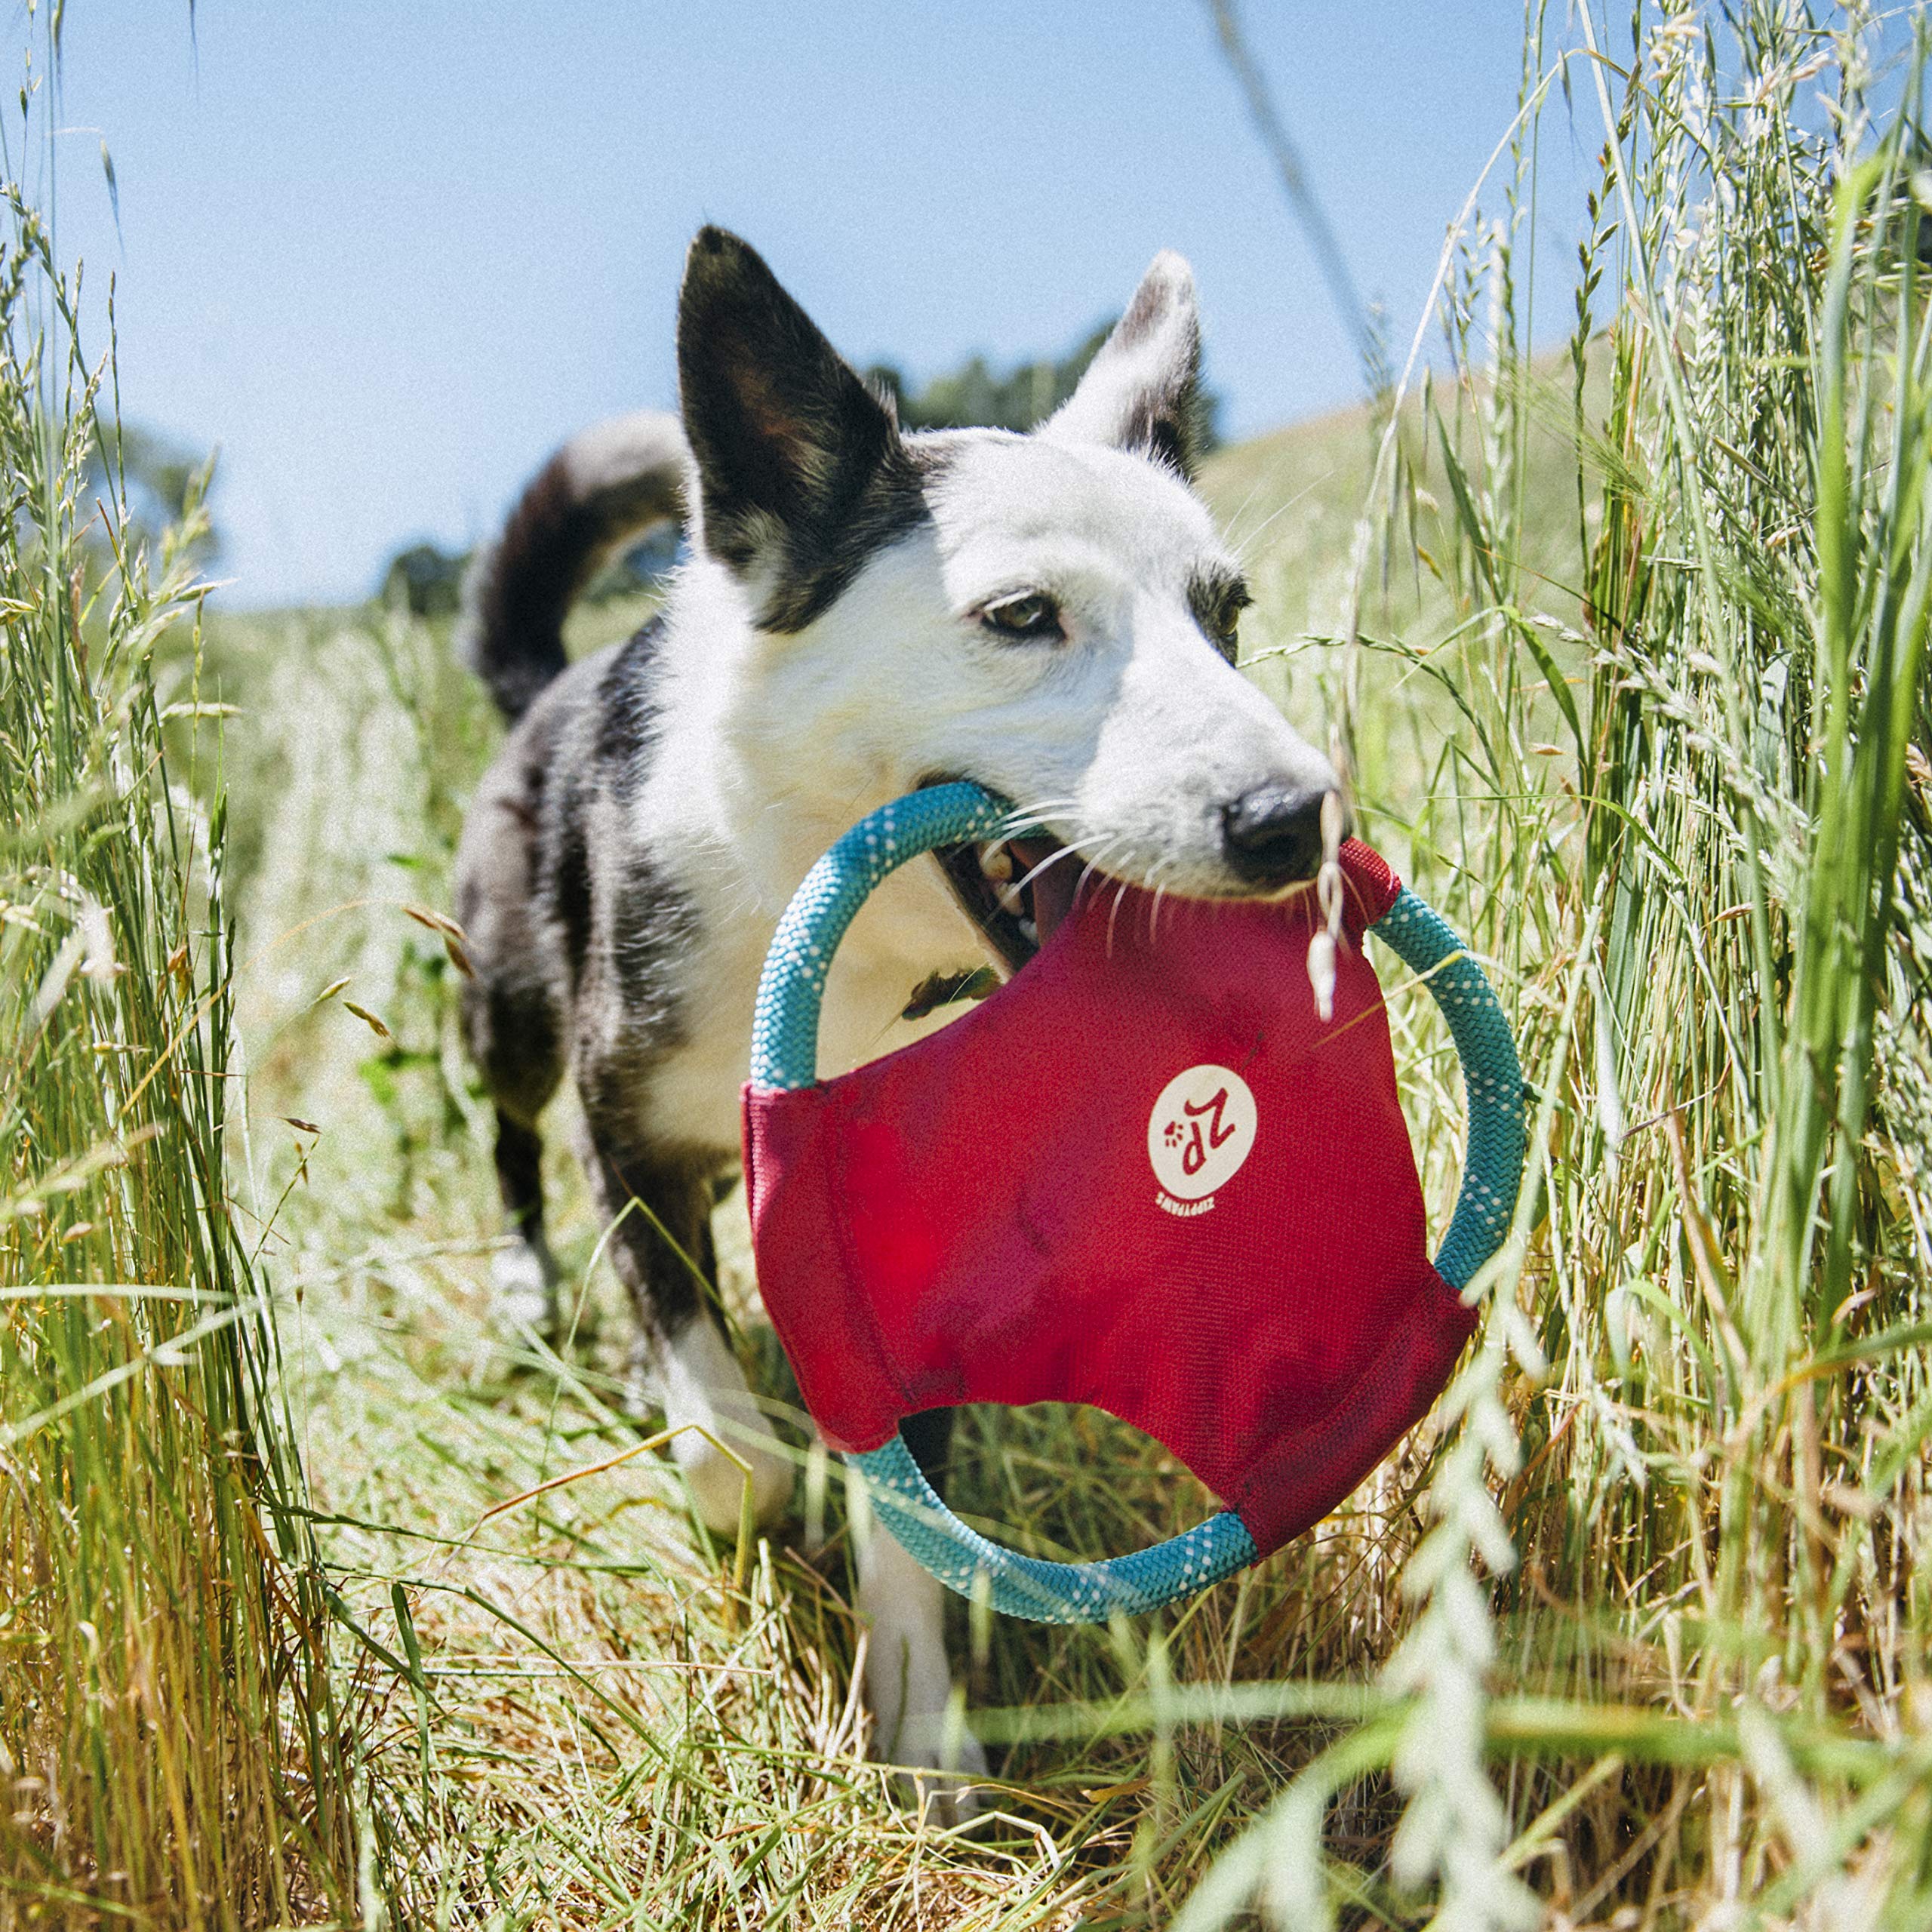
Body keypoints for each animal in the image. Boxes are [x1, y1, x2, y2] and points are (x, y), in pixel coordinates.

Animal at [454, 229, 1344, 1808]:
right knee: (505, 1135)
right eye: (1021, 618)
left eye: (1226, 613)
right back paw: (525, 1287)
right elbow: (724, 1424)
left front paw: (924, 1718)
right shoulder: (632, 1138)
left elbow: (908, 1508)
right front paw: (759, 1488)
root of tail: (540, 687)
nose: (1295, 820)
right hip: (508, 1009)